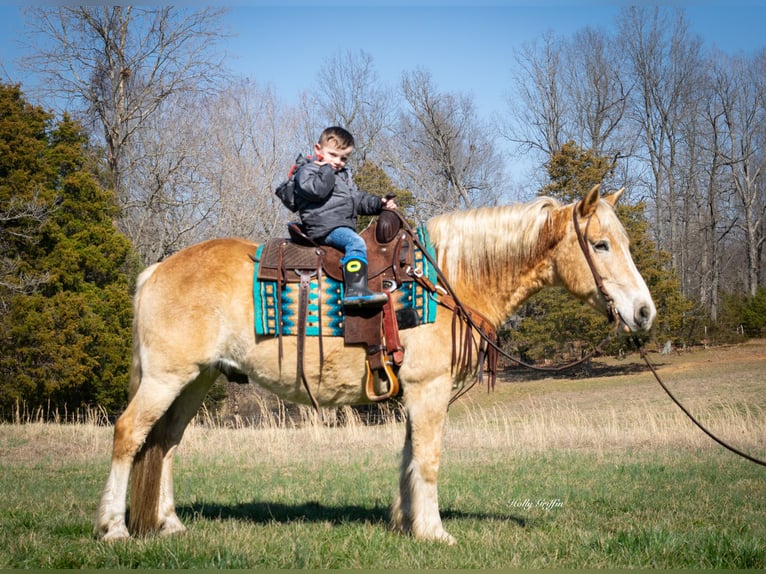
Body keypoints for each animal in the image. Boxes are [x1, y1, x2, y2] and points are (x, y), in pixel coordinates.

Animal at [96, 184, 656, 544]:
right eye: (601, 244)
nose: (644, 312)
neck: (446, 278)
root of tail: (155, 270)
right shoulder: (429, 387)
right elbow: (428, 459)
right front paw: (434, 532)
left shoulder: (415, 390)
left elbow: (408, 458)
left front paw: (406, 523)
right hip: (166, 378)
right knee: (129, 434)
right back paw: (113, 528)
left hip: (196, 379)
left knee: (166, 443)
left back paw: (168, 524)